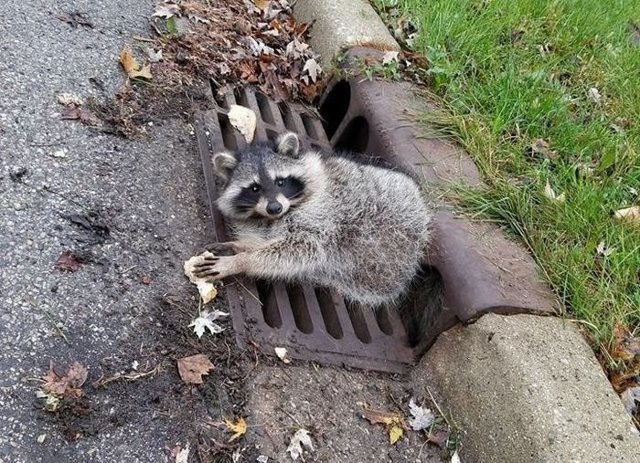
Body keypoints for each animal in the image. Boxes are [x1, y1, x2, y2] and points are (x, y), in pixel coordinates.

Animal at [192, 133, 438, 340]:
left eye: (280, 182)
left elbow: (304, 248)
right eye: (255, 188)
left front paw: (241, 260)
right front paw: (240, 246)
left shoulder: (324, 217)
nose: (274, 207)